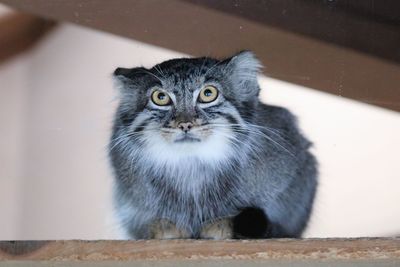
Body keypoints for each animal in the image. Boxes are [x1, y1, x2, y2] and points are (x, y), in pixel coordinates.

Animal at [108, 51, 318, 240]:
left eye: (208, 94)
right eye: (160, 97)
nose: (185, 124)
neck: (191, 166)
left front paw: (222, 224)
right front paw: (165, 226)